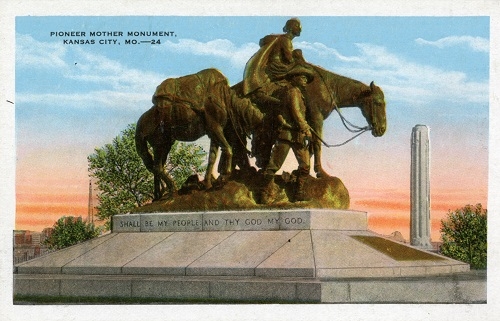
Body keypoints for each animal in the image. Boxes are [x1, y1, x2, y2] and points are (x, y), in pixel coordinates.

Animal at [135, 68, 264, 200]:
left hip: (165, 145)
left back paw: (158, 196)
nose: (259, 162)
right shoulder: (215, 128)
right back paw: (172, 189)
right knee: (157, 167)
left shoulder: (214, 134)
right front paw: (224, 177)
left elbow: (212, 158)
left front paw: (208, 183)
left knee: (157, 167)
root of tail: (140, 123)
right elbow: (228, 149)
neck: (225, 98)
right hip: (159, 145)